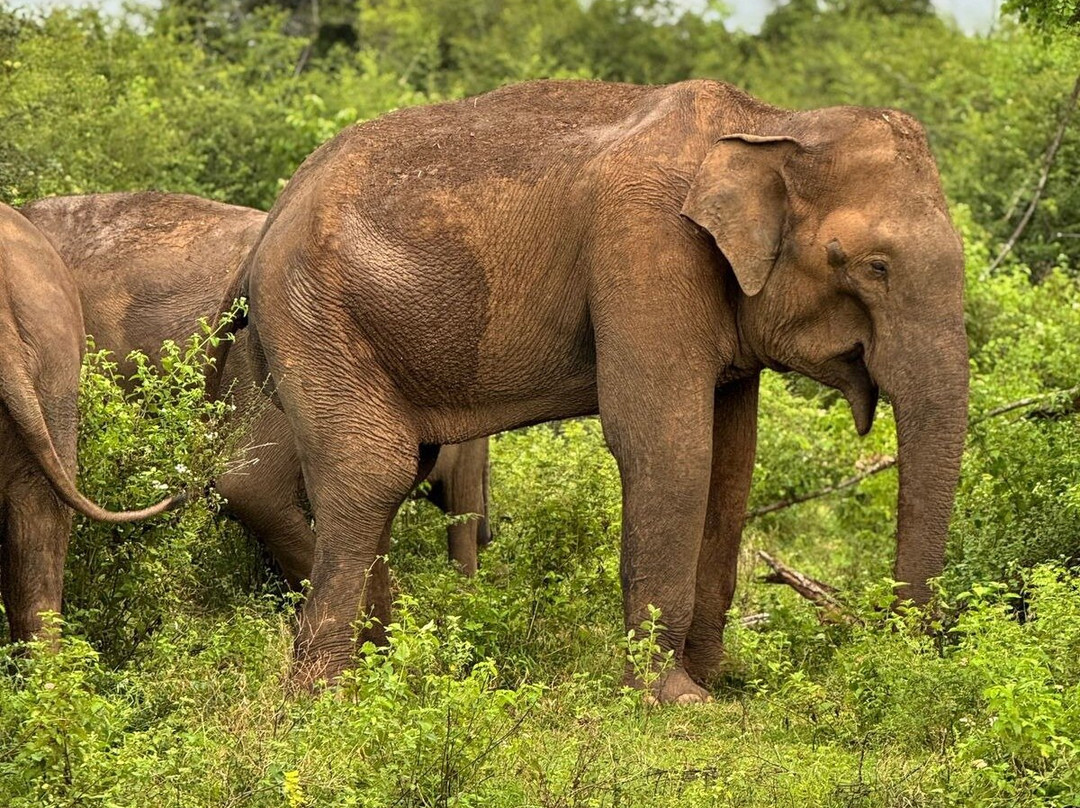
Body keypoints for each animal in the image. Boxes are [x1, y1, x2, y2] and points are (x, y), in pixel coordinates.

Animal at [226, 78, 968, 702]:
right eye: (873, 266)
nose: (895, 658)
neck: (770, 122)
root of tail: (278, 210)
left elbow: (732, 466)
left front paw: (720, 685)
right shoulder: (644, 244)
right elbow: (668, 448)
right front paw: (676, 704)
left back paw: (395, 671)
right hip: (314, 313)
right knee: (370, 472)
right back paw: (326, 696)